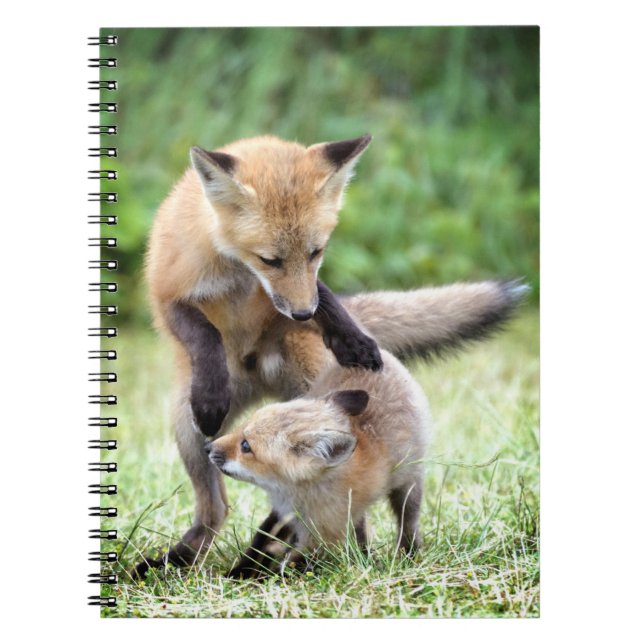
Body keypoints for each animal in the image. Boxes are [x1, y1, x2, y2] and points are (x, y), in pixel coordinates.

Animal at [207, 349, 431, 578]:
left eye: (245, 446)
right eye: (240, 428)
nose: (208, 447)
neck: (298, 494)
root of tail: (385, 356)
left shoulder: (322, 536)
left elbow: (290, 566)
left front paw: (262, 578)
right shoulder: (284, 514)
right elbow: (261, 541)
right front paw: (240, 572)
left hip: (409, 486)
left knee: (408, 520)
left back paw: (408, 552)